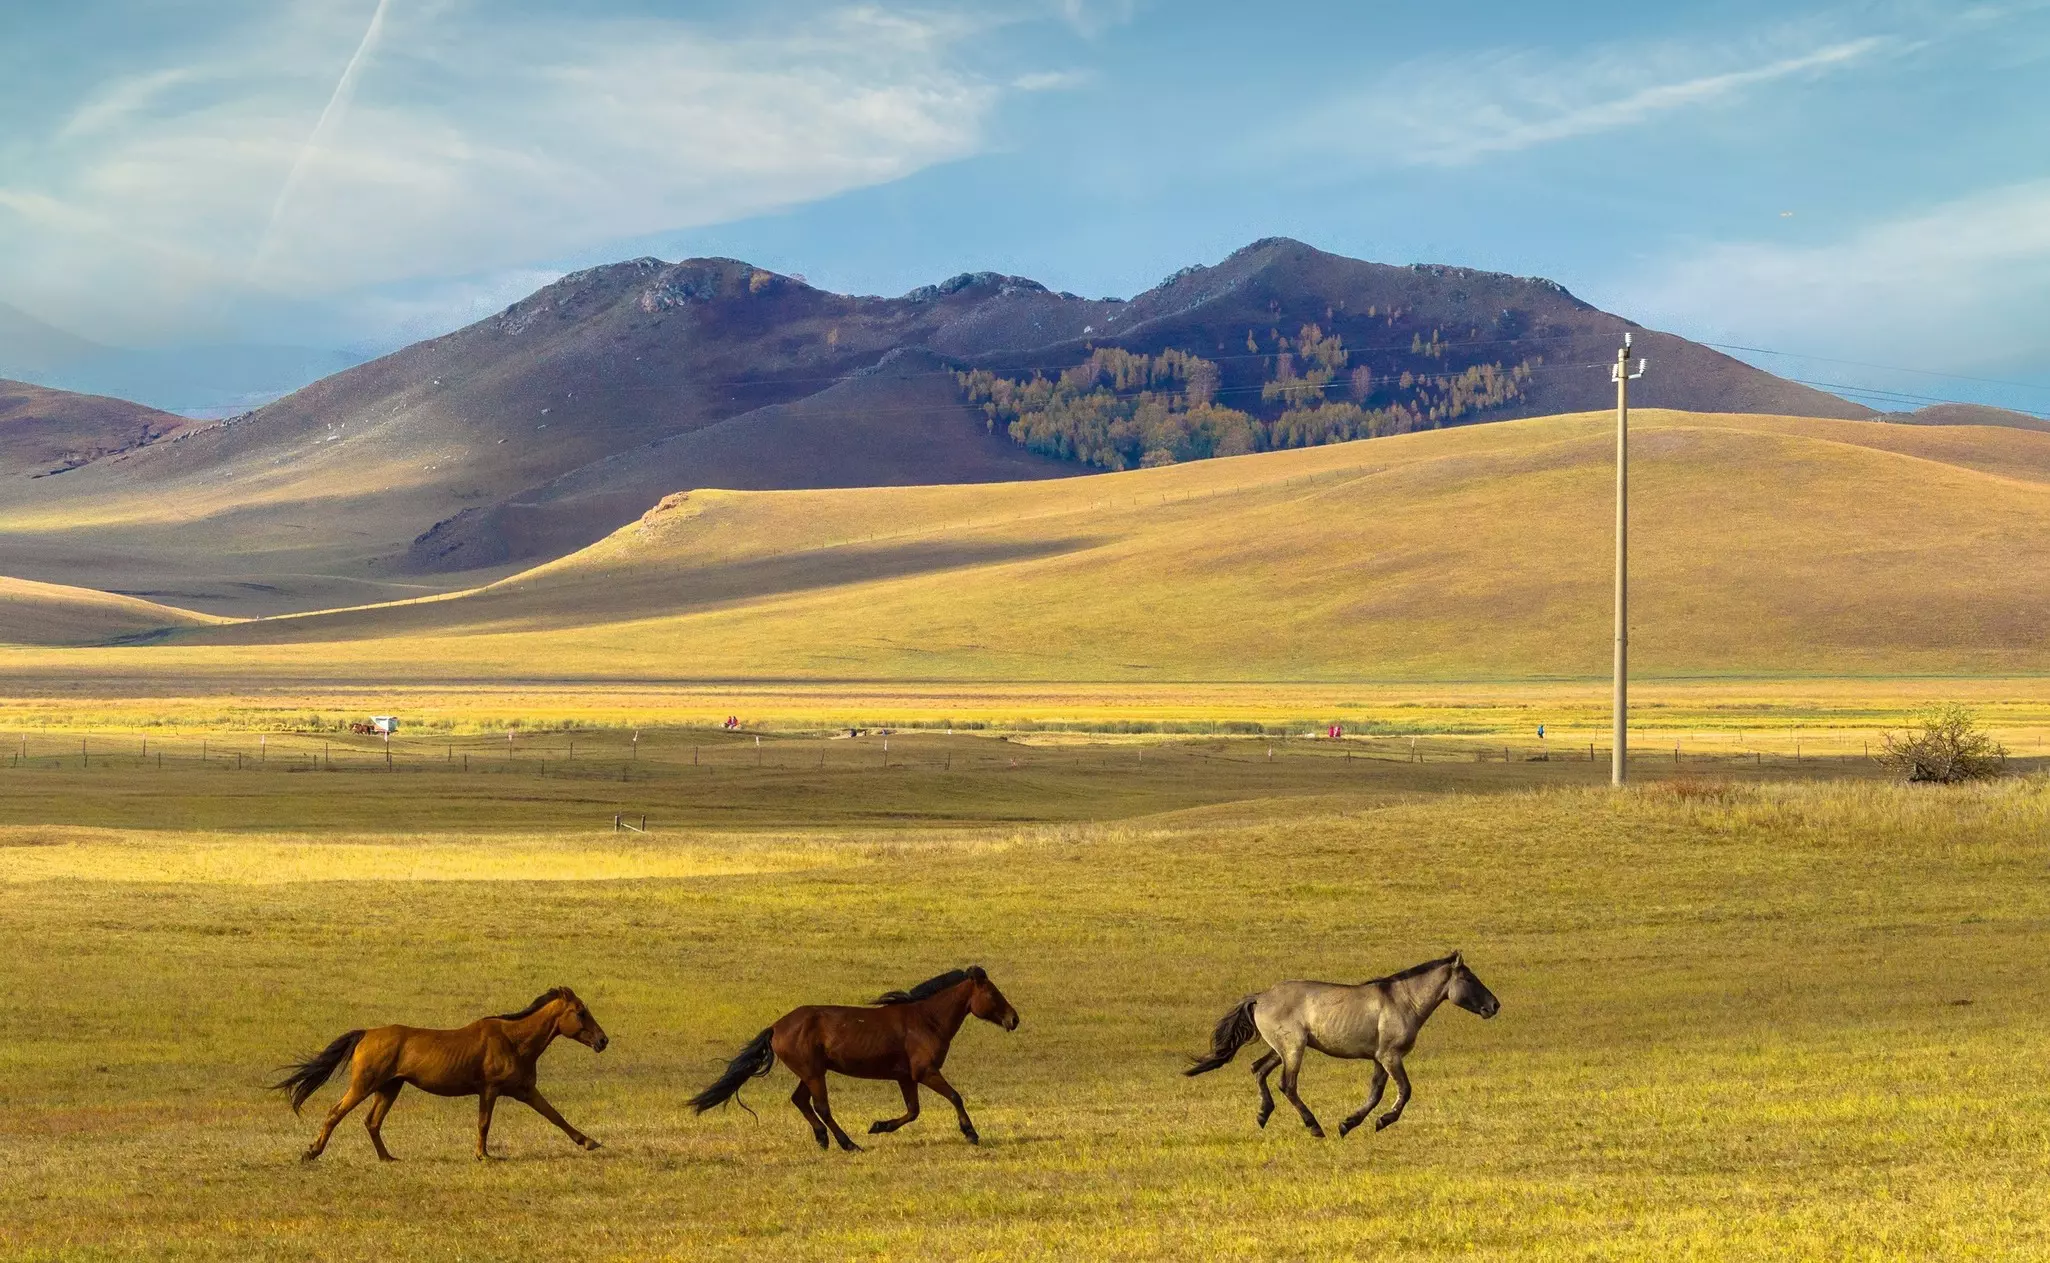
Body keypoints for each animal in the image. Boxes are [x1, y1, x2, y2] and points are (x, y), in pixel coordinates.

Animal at [270, 986, 610, 1161]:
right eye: (580, 1012)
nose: (603, 1040)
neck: (514, 1040)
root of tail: (366, 1033)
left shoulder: (525, 1091)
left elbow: (555, 1116)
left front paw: (589, 1142)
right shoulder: (490, 1090)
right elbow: (484, 1123)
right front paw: (483, 1156)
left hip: (390, 1087)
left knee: (372, 1122)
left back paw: (387, 1158)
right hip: (364, 1085)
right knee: (335, 1113)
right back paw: (312, 1152)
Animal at [688, 966, 1019, 1151]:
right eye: (993, 994)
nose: (1014, 1019)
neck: (927, 1019)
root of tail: (776, 1027)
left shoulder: (906, 1077)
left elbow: (913, 1111)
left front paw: (879, 1126)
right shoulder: (925, 1072)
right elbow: (955, 1097)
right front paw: (971, 1133)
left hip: (811, 1072)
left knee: (801, 1101)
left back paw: (823, 1139)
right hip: (814, 1073)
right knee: (821, 1106)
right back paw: (848, 1143)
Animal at [1184, 952, 1498, 1137]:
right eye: (1468, 978)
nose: (1494, 1005)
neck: (1402, 1001)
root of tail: (1261, 997)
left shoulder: (1379, 1058)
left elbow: (1374, 1093)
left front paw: (1349, 1123)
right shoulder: (1390, 1056)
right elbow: (1405, 1090)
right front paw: (1382, 1121)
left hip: (1279, 1050)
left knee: (1257, 1069)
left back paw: (1263, 1116)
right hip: (1293, 1049)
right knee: (1287, 1084)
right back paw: (1314, 1127)